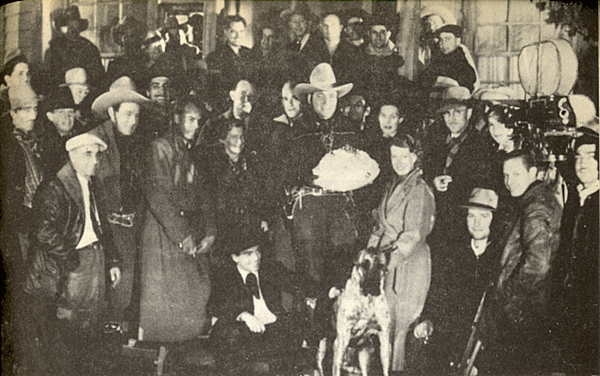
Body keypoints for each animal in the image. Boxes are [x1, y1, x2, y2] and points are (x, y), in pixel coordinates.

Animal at [314, 247, 394, 376]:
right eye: (364, 264)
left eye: (381, 266)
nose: (373, 284)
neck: (367, 301)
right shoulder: (341, 340)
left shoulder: (384, 339)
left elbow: (385, 368)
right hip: (322, 348)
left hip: (364, 352)